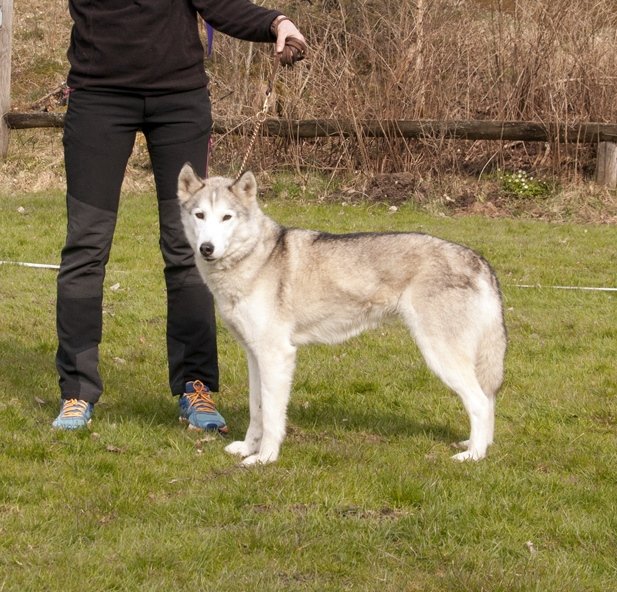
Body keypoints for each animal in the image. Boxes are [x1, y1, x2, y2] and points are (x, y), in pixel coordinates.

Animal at [177, 164, 507, 465]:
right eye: (200, 215)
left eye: (226, 217)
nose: (207, 248)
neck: (256, 258)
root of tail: (478, 260)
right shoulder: (255, 356)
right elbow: (256, 410)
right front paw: (248, 448)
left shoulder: (277, 356)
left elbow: (271, 417)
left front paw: (265, 458)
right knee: (487, 403)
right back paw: (478, 445)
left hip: (440, 355)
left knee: (480, 403)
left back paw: (474, 455)